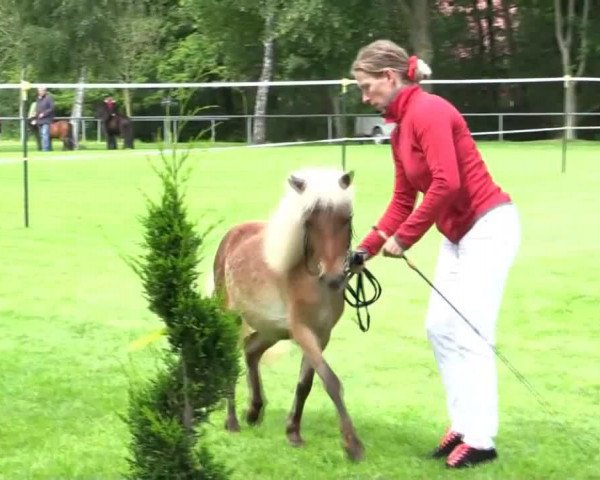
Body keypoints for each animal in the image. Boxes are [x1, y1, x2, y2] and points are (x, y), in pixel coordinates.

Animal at [213, 167, 364, 460]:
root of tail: (232, 235)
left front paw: (293, 432)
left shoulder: (320, 335)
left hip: (273, 330)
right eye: (309, 221)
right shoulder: (303, 331)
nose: (333, 277)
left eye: (347, 218)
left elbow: (306, 384)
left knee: (251, 350)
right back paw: (233, 421)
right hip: (232, 318)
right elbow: (330, 380)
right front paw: (353, 444)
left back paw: (254, 410)